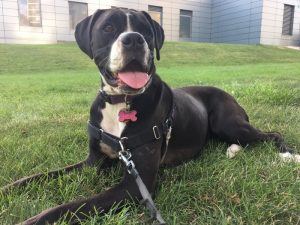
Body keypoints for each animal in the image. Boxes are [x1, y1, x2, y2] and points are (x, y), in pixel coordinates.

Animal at [2, 7, 298, 224]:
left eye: (145, 30)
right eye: (108, 28)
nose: (134, 38)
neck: (121, 102)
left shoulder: (136, 185)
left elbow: (73, 206)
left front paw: (32, 220)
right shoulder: (92, 161)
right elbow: (39, 176)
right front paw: (7, 189)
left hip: (228, 122)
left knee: (272, 133)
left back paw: (287, 155)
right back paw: (233, 150)